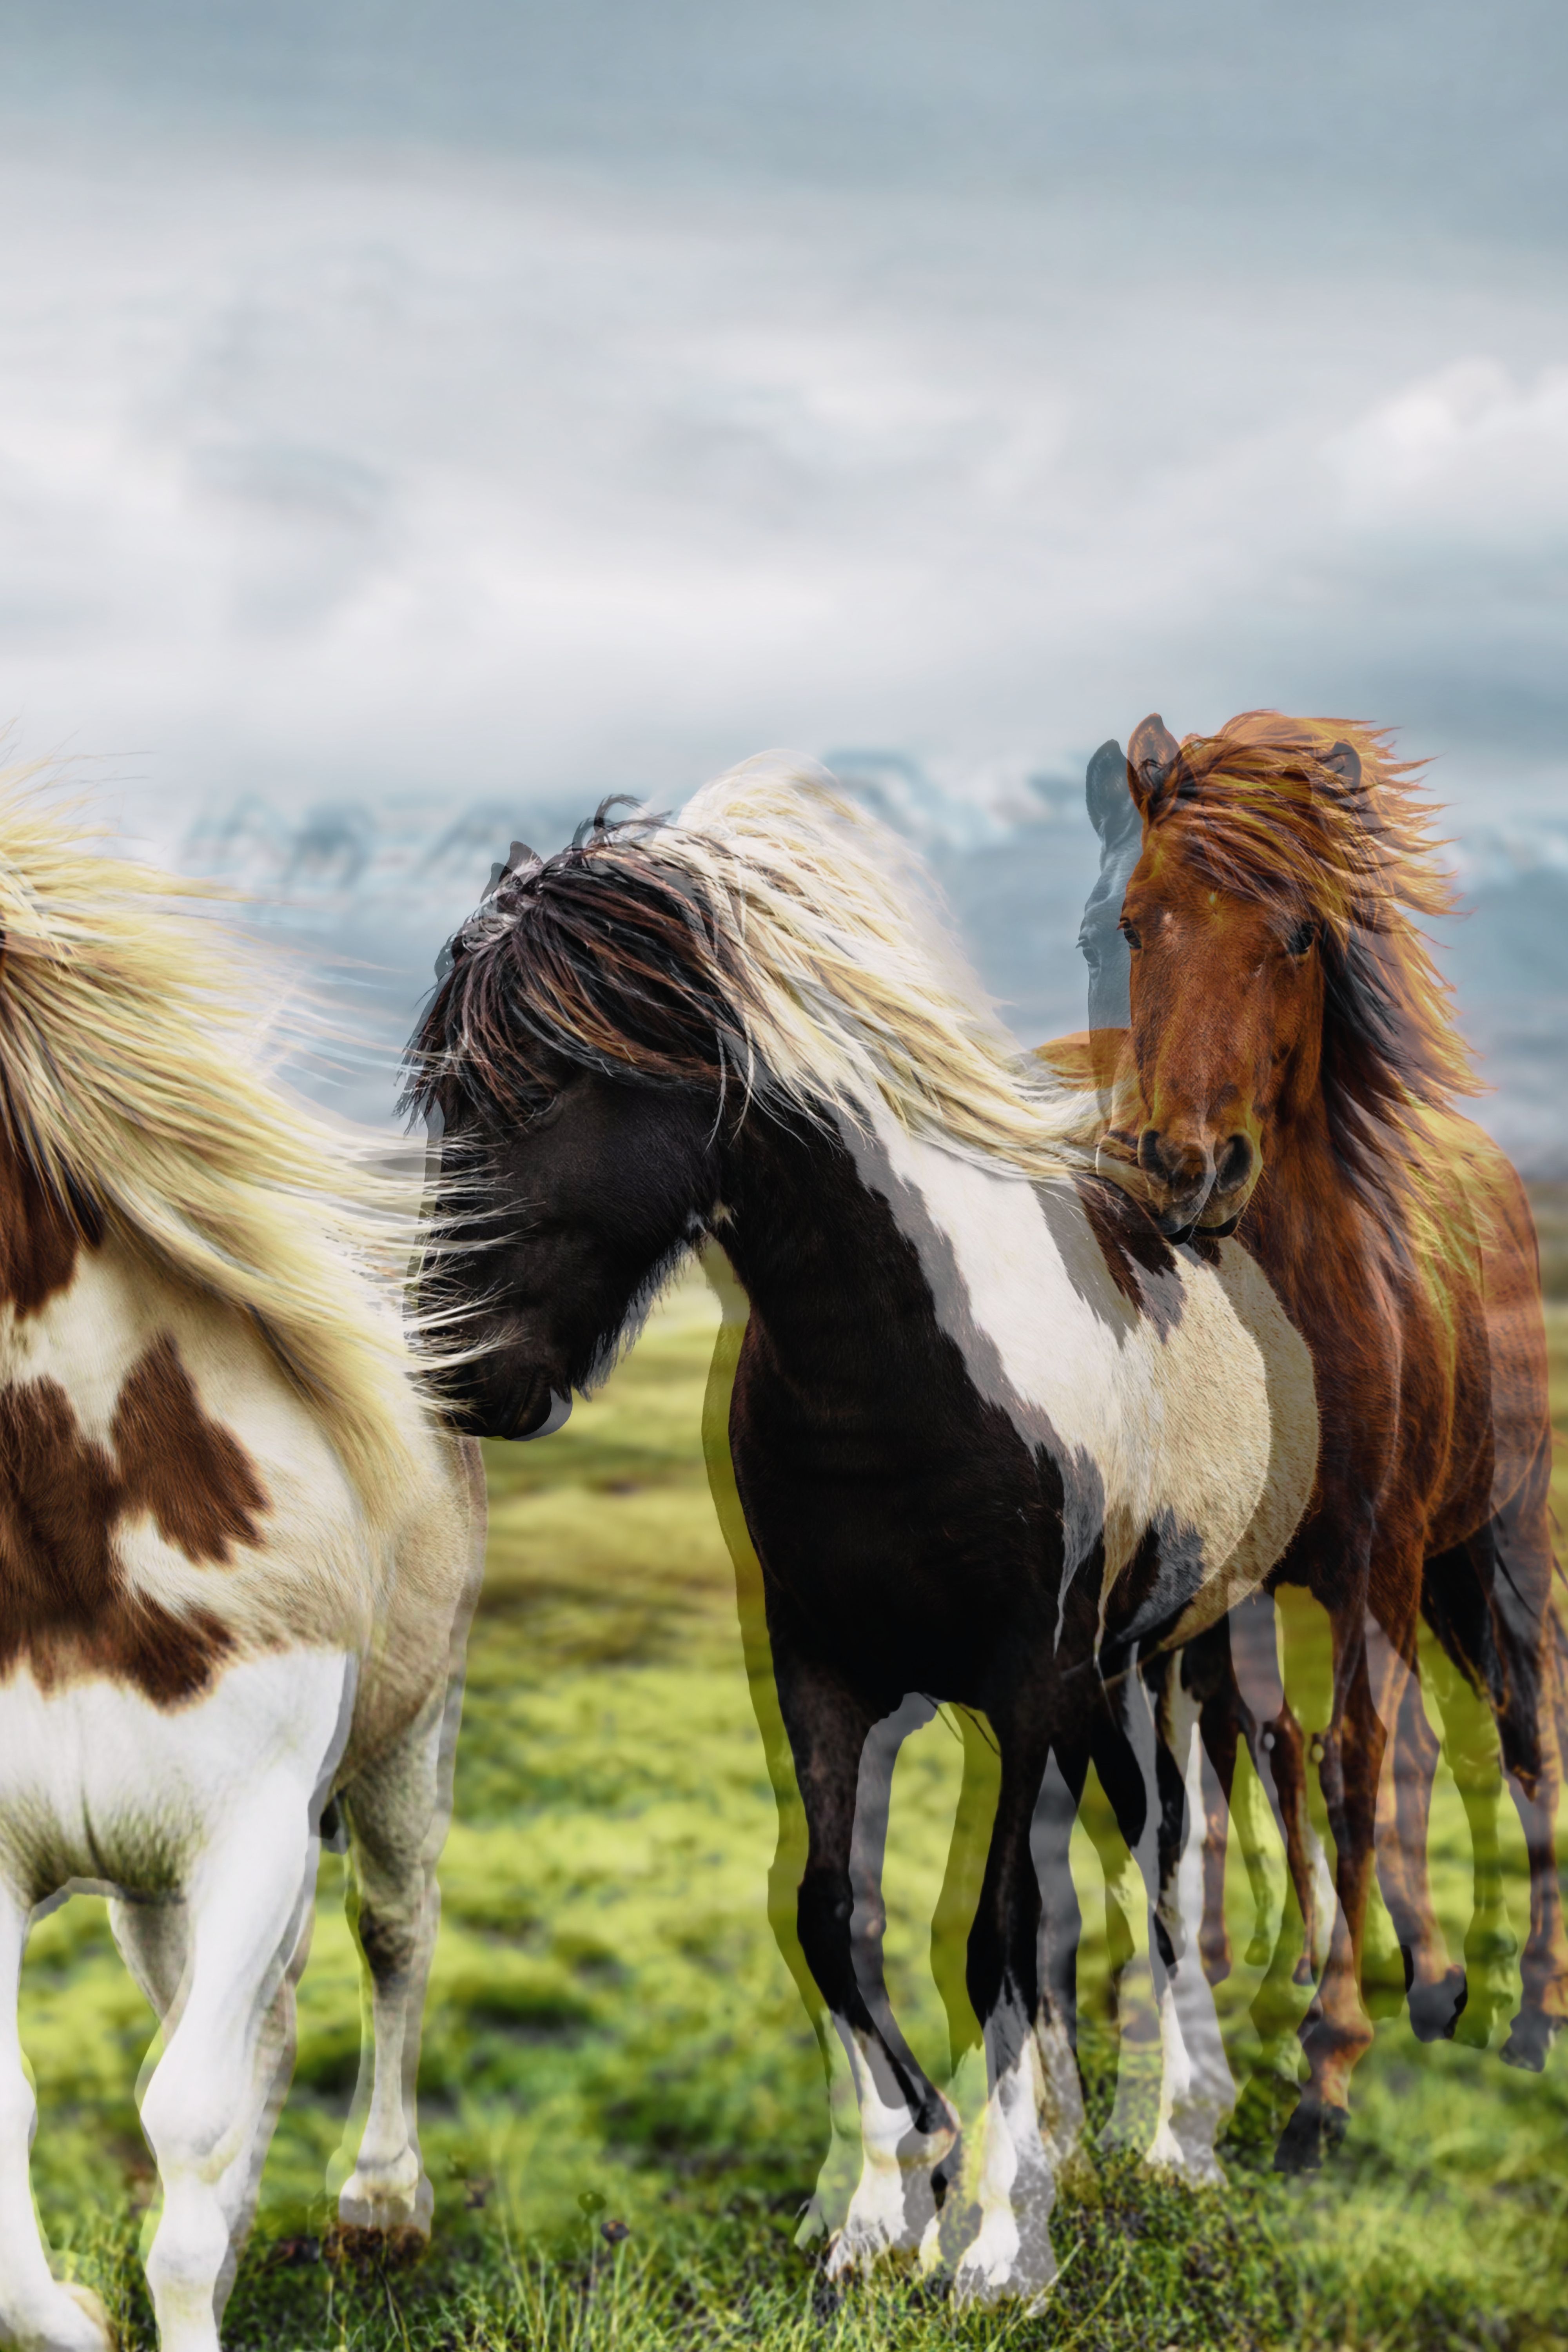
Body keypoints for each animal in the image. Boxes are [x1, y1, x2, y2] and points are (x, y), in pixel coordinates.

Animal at [0, 792, 485, 2352]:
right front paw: (83, 2308)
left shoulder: (259, 1830)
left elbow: (188, 2113)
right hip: (152, 1886)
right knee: (253, 2015)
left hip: (402, 1756)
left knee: (393, 1943)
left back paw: (380, 2201)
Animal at [407, 753, 1320, 2301]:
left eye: (544, 1081)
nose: (457, 1370)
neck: (899, 1376)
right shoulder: (821, 1668)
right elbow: (837, 1917)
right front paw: (893, 2201)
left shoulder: (1026, 1679)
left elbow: (997, 1930)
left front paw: (1000, 2238)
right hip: (1092, 1693)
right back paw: (1076, 2138)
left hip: (1169, 1659)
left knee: (1166, 1866)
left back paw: (1173, 2135)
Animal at [1075, 710, 1565, 2154]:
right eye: (1135, 924)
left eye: (1300, 935)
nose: (1180, 1168)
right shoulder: (1226, 1589)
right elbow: (1245, 1770)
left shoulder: (1374, 1566)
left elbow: (1352, 1770)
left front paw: (1329, 2068)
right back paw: (1435, 1976)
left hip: (1494, 1550)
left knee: (1521, 1739)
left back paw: (1529, 2010)